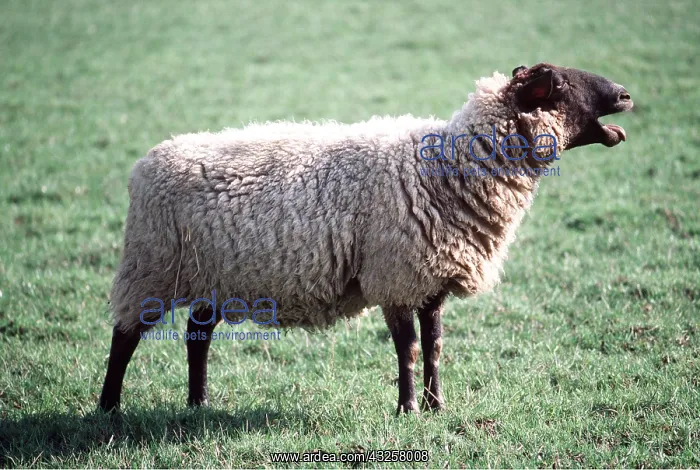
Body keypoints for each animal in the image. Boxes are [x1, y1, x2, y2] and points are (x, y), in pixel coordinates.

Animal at [99, 63, 633, 414]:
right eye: (561, 83)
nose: (626, 95)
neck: (449, 169)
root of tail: (146, 163)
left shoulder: (429, 279)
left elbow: (435, 344)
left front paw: (437, 406)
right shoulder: (394, 276)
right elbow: (409, 349)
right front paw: (408, 410)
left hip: (211, 273)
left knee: (197, 333)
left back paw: (199, 403)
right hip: (151, 264)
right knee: (125, 335)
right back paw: (109, 407)